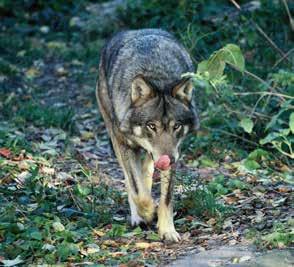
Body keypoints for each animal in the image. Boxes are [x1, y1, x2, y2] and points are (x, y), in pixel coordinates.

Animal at [96, 29, 200, 243]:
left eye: (176, 126)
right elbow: (137, 189)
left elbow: (166, 198)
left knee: (146, 168)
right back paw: (138, 217)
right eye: (152, 126)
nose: (168, 159)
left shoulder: (175, 151)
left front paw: (167, 230)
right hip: (115, 136)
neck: (157, 76)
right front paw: (148, 211)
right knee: (130, 179)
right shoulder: (124, 145)